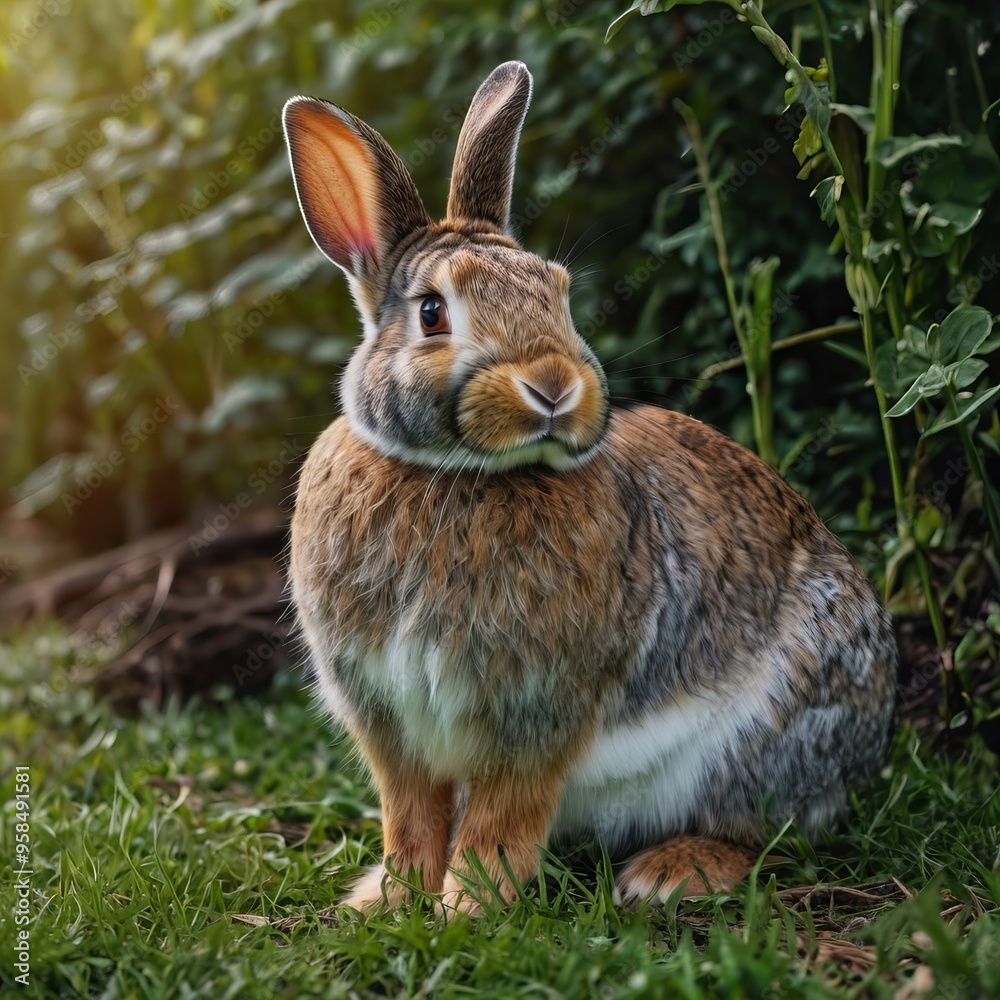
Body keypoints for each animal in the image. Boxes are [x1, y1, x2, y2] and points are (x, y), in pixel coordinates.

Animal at [282, 60, 898, 913]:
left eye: (558, 293)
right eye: (432, 311)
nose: (553, 386)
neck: (457, 473)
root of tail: (874, 740)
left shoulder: (538, 712)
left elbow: (502, 818)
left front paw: (468, 905)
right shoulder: (390, 723)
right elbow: (410, 813)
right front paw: (390, 900)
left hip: (762, 740)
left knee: (765, 829)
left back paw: (671, 872)